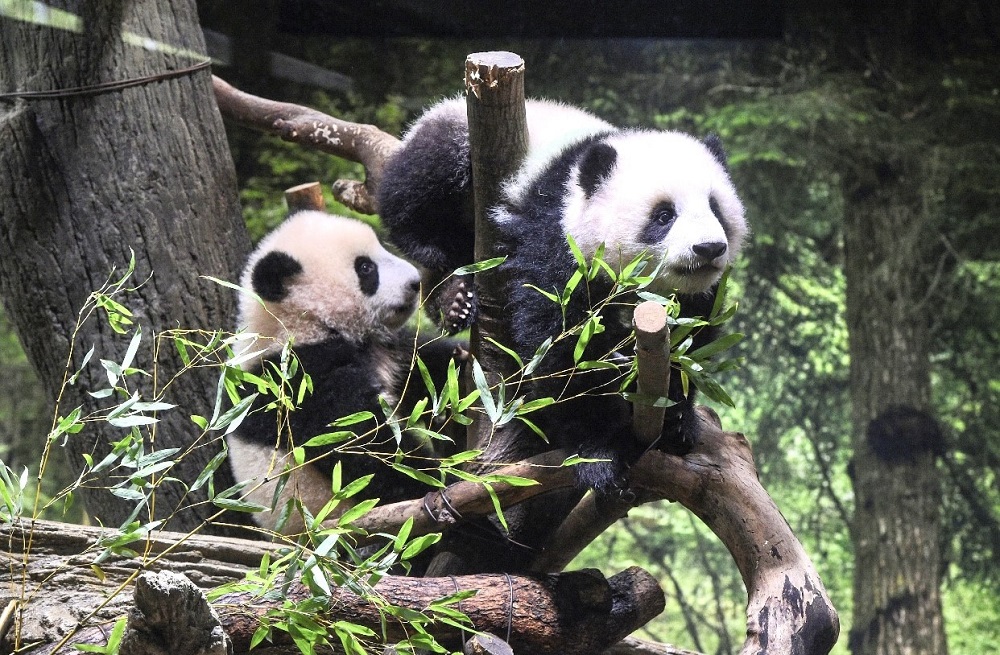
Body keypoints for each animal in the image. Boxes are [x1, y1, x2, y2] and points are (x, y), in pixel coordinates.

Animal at [227, 211, 458, 540]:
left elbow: (422, 368)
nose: (415, 282)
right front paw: (439, 483)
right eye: (366, 268)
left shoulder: (385, 350)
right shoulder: (300, 381)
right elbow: (364, 448)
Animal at [378, 96, 748, 498]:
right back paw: (443, 273)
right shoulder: (555, 233)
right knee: (419, 183)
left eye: (716, 208)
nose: (709, 248)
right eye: (664, 215)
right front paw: (599, 451)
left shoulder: (694, 297)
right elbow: (560, 344)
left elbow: (692, 339)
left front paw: (676, 421)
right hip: (453, 134)